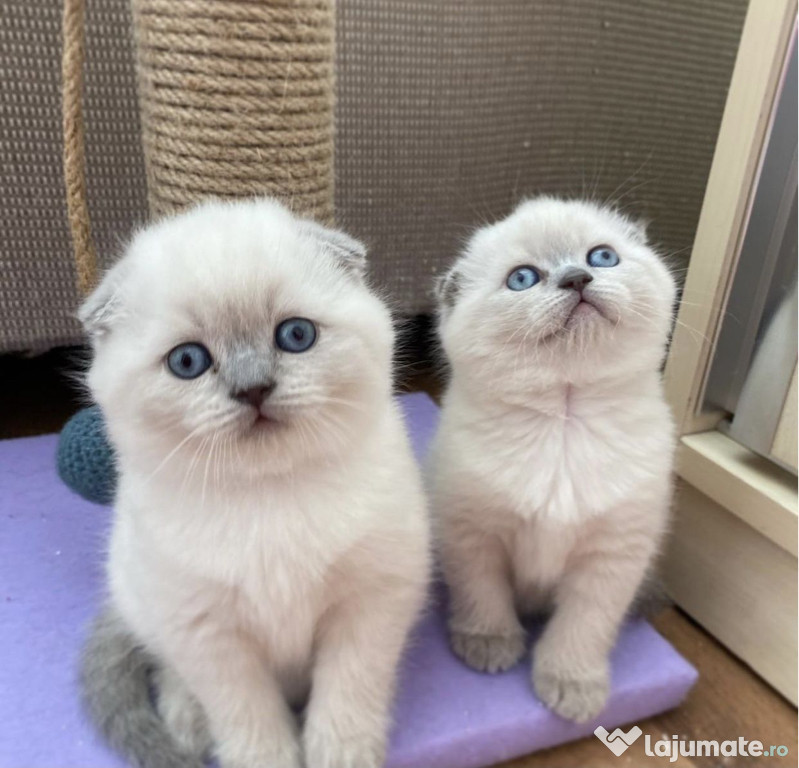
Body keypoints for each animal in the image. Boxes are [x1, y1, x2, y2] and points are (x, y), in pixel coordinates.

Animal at [79, 200, 432, 768]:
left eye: (296, 335)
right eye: (187, 362)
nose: (254, 389)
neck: (270, 496)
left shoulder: (370, 602)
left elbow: (347, 691)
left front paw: (339, 752)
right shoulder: (208, 633)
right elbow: (248, 715)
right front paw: (266, 756)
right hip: (142, 597)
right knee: (169, 668)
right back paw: (187, 722)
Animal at [428, 195, 680, 724]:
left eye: (602, 257)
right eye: (523, 278)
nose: (576, 279)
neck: (566, 423)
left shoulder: (613, 554)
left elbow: (584, 624)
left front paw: (572, 686)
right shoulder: (471, 533)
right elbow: (483, 592)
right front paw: (489, 644)